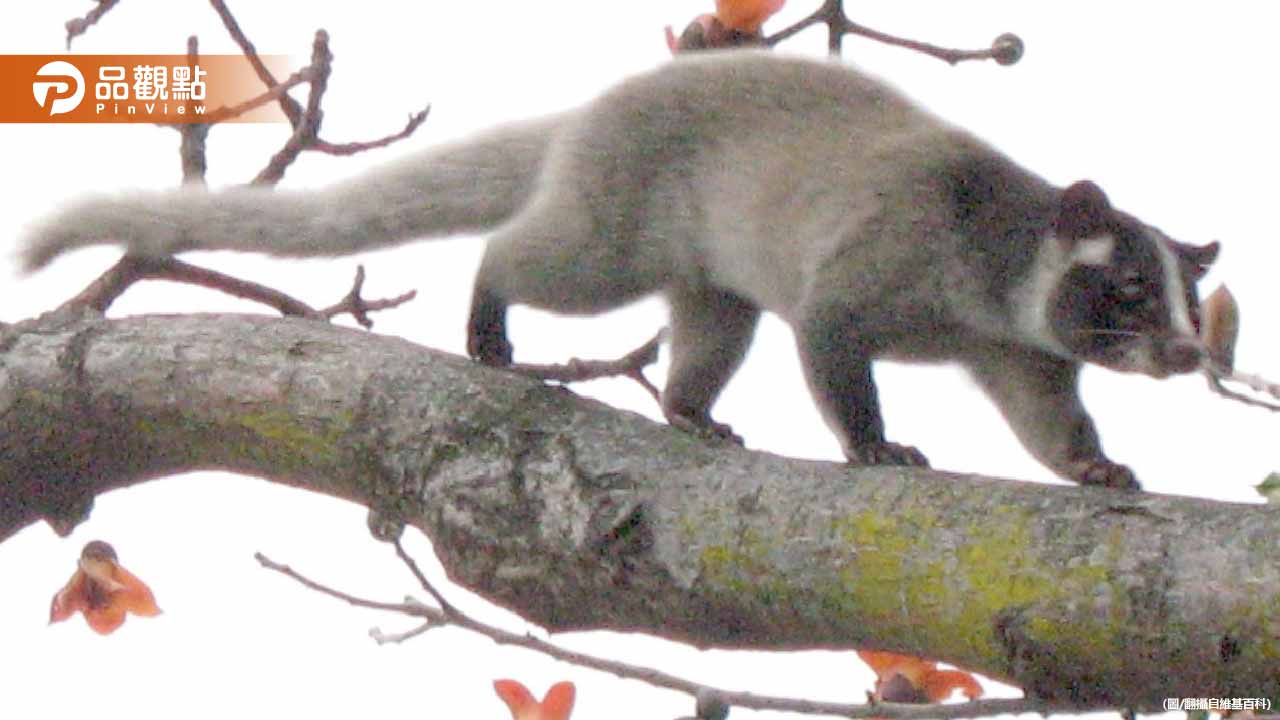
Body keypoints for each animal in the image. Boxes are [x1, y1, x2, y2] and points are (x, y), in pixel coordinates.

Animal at [20, 51, 1219, 490]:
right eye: (1125, 289)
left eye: (1186, 300)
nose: (1182, 353)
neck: (991, 282)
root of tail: (589, 114)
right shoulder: (874, 263)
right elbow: (831, 342)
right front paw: (875, 445)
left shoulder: (1019, 350)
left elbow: (1043, 418)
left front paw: (1094, 466)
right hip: (611, 228)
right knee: (531, 257)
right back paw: (490, 323)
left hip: (708, 280)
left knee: (713, 330)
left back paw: (691, 411)